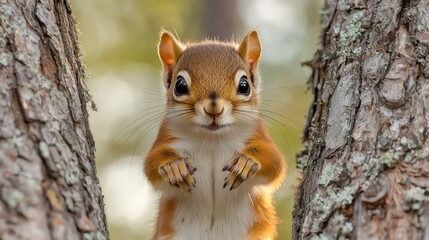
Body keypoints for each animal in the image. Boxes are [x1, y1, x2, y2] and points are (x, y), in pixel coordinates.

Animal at [144, 30, 288, 240]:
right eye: (180, 85)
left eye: (244, 85)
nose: (214, 108)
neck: (212, 138)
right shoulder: (168, 134)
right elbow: (151, 164)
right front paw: (173, 166)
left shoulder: (256, 132)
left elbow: (276, 163)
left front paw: (247, 161)